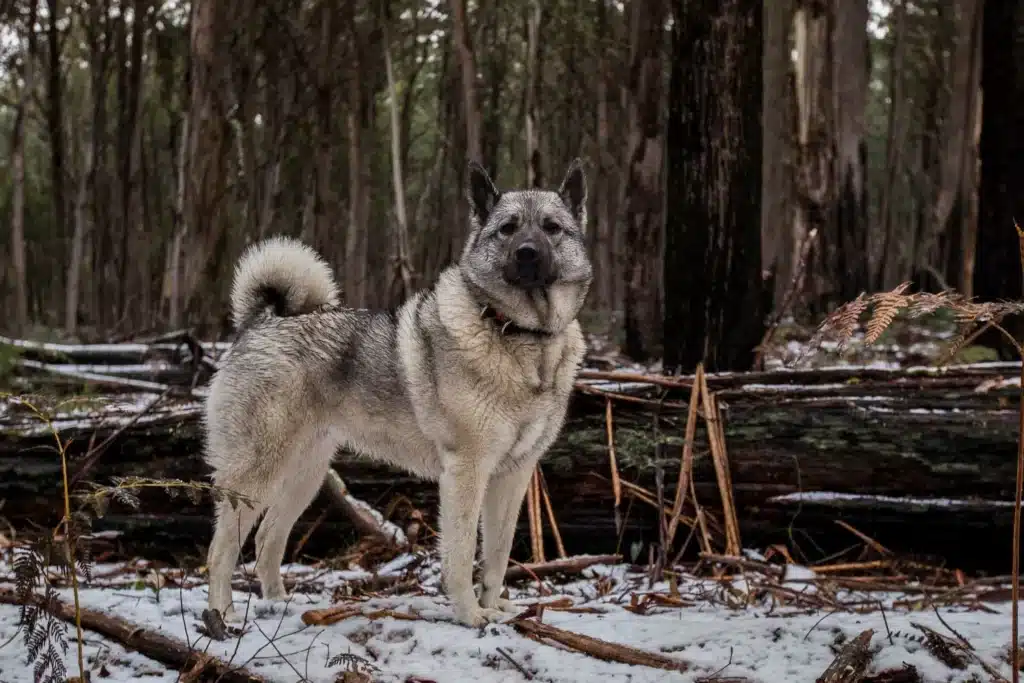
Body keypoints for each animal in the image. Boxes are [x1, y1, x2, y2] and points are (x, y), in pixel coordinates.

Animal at [201, 157, 593, 626]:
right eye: (507, 229)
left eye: (552, 228)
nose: (528, 253)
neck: (520, 336)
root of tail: (260, 322)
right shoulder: (466, 471)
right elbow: (461, 554)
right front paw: (470, 615)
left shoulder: (513, 475)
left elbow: (497, 554)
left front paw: (495, 607)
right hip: (257, 473)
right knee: (221, 549)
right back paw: (221, 617)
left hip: (305, 475)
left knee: (266, 541)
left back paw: (279, 606)